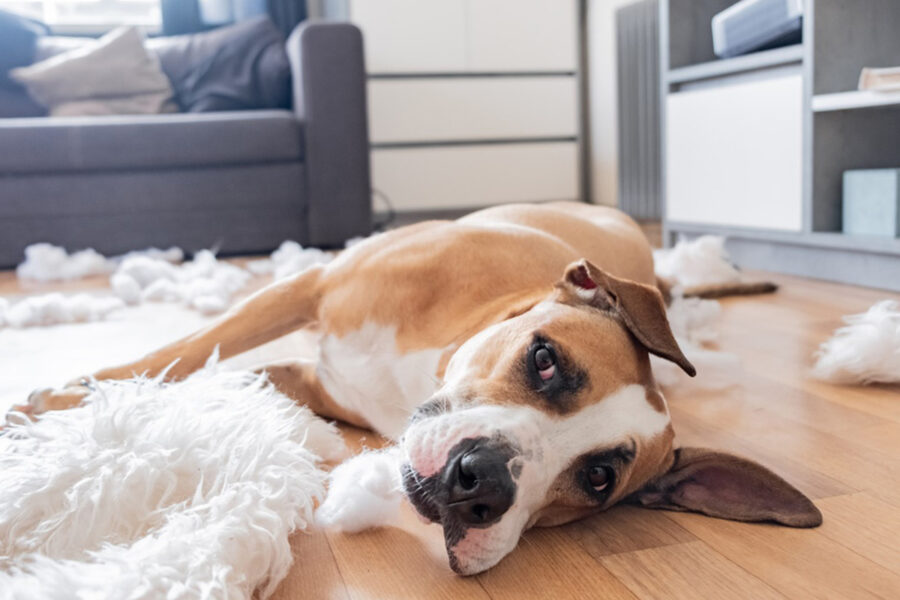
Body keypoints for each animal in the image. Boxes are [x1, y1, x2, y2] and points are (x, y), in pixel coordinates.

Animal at [21, 203, 824, 576]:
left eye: (599, 478)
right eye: (545, 360)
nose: (482, 481)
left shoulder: (305, 375)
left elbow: (216, 373)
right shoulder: (308, 286)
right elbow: (182, 352)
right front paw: (63, 402)